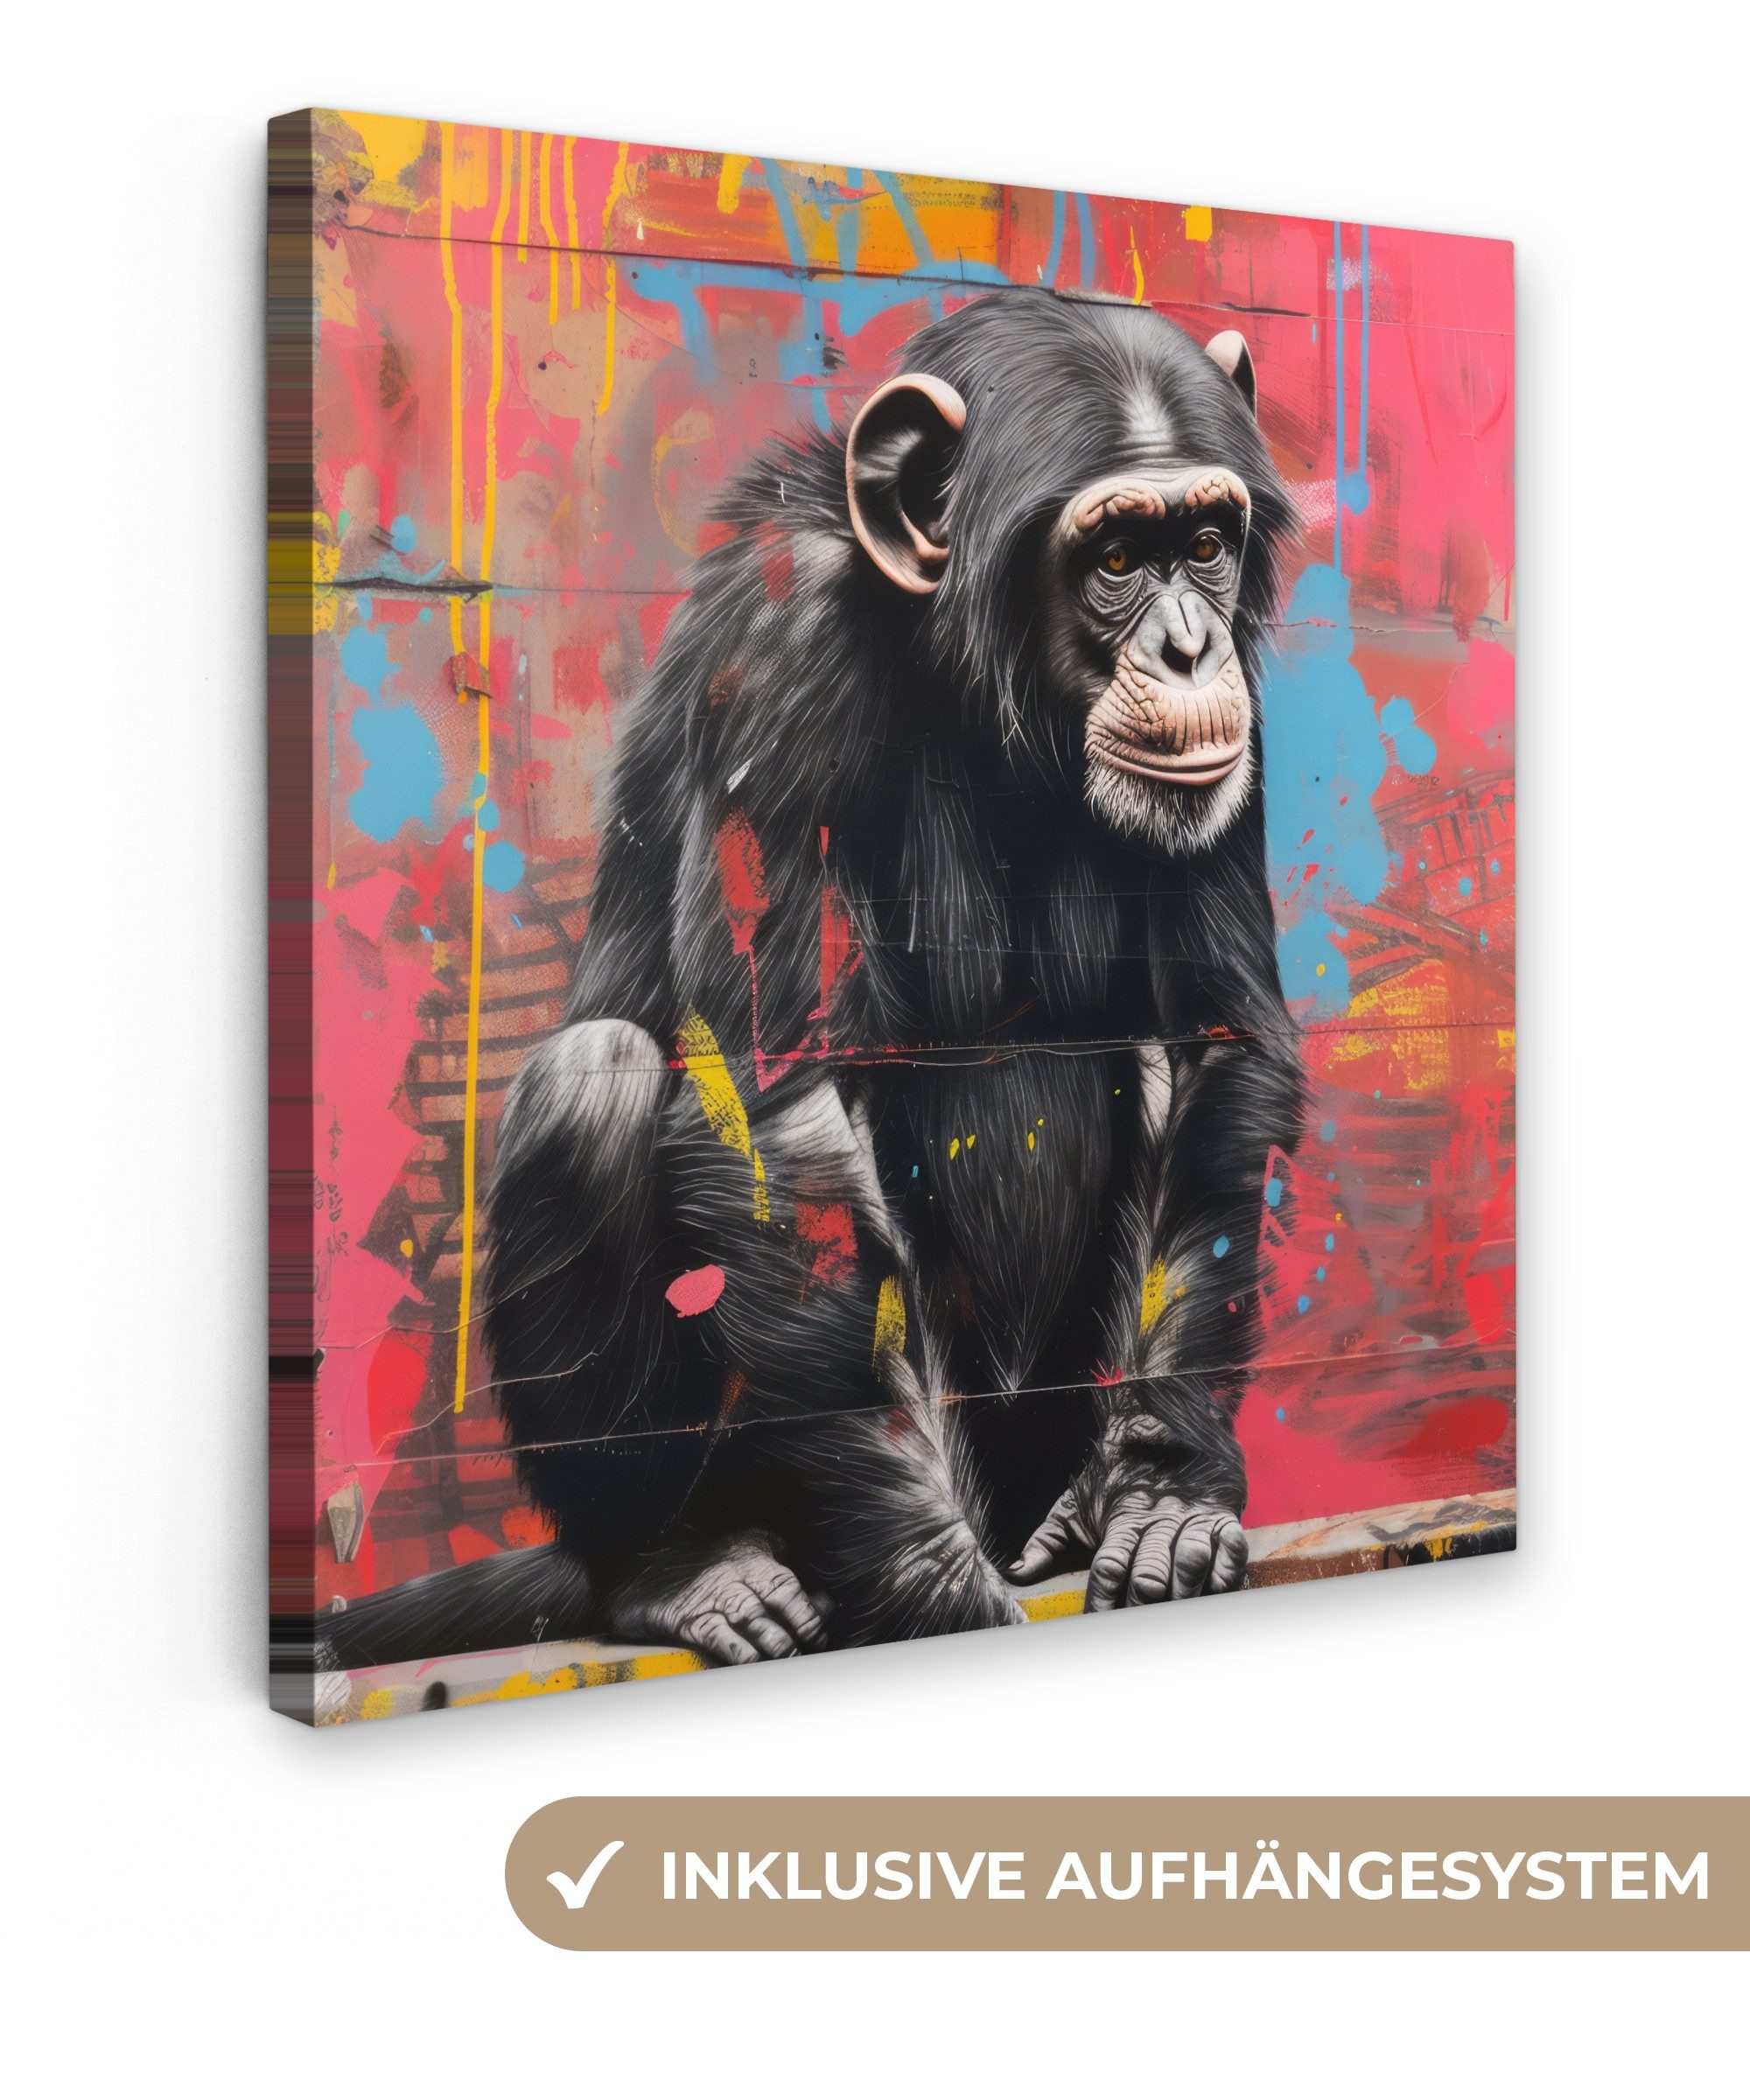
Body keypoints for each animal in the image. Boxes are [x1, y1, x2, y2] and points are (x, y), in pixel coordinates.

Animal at [316, 288, 1305, 1675]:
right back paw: (683, 1566)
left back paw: (1076, 1500)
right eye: (1115, 560)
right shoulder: (783, 652)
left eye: (1206, 543)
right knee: (593, 1079)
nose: (1185, 644)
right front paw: (926, 1582)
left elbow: (1211, 1044)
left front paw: (1162, 1491)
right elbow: (779, 1102)